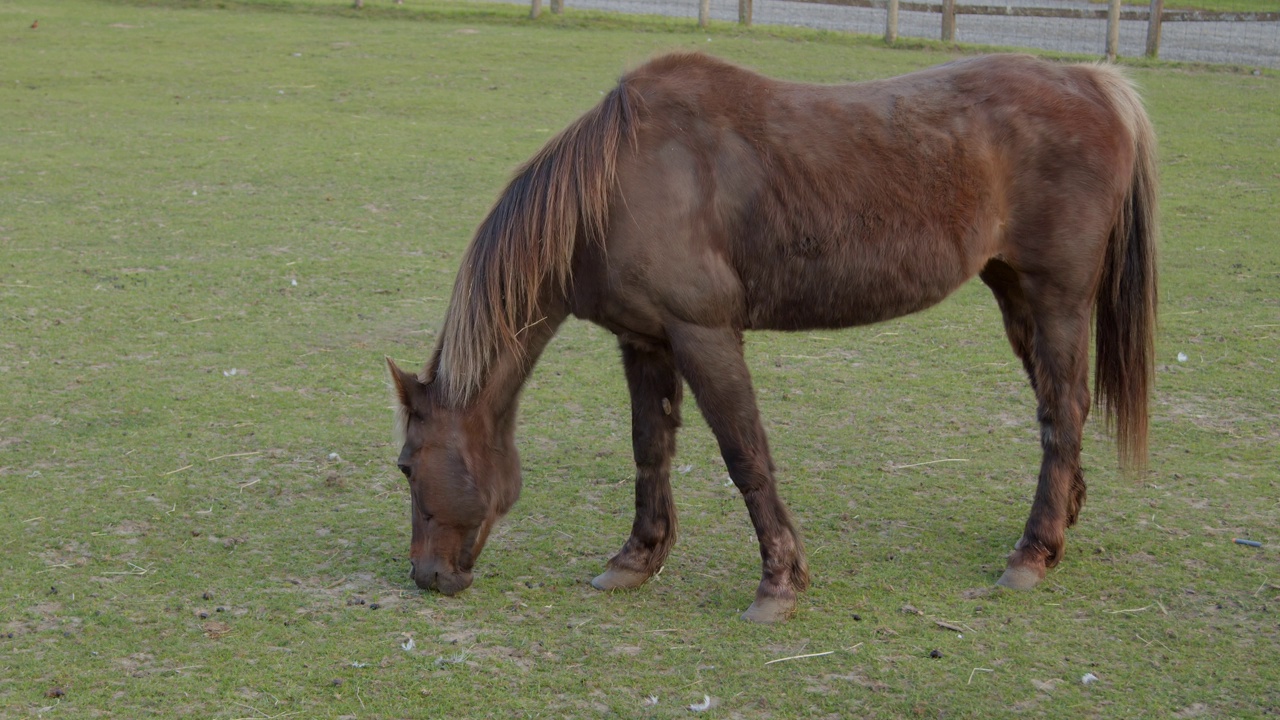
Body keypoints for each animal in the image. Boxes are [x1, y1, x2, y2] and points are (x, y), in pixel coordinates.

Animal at [386, 53, 1162, 620]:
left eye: (406, 466)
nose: (426, 574)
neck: (619, 182)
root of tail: (1094, 81)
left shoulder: (705, 335)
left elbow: (746, 456)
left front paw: (779, 584)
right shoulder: (645, 342)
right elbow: (650, 450)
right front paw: (635, 560)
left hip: (1058, 299)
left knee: (1063, 411)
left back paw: (1031, 554)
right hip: (1016, 295)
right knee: (1059, 410)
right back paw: (1060, 526)